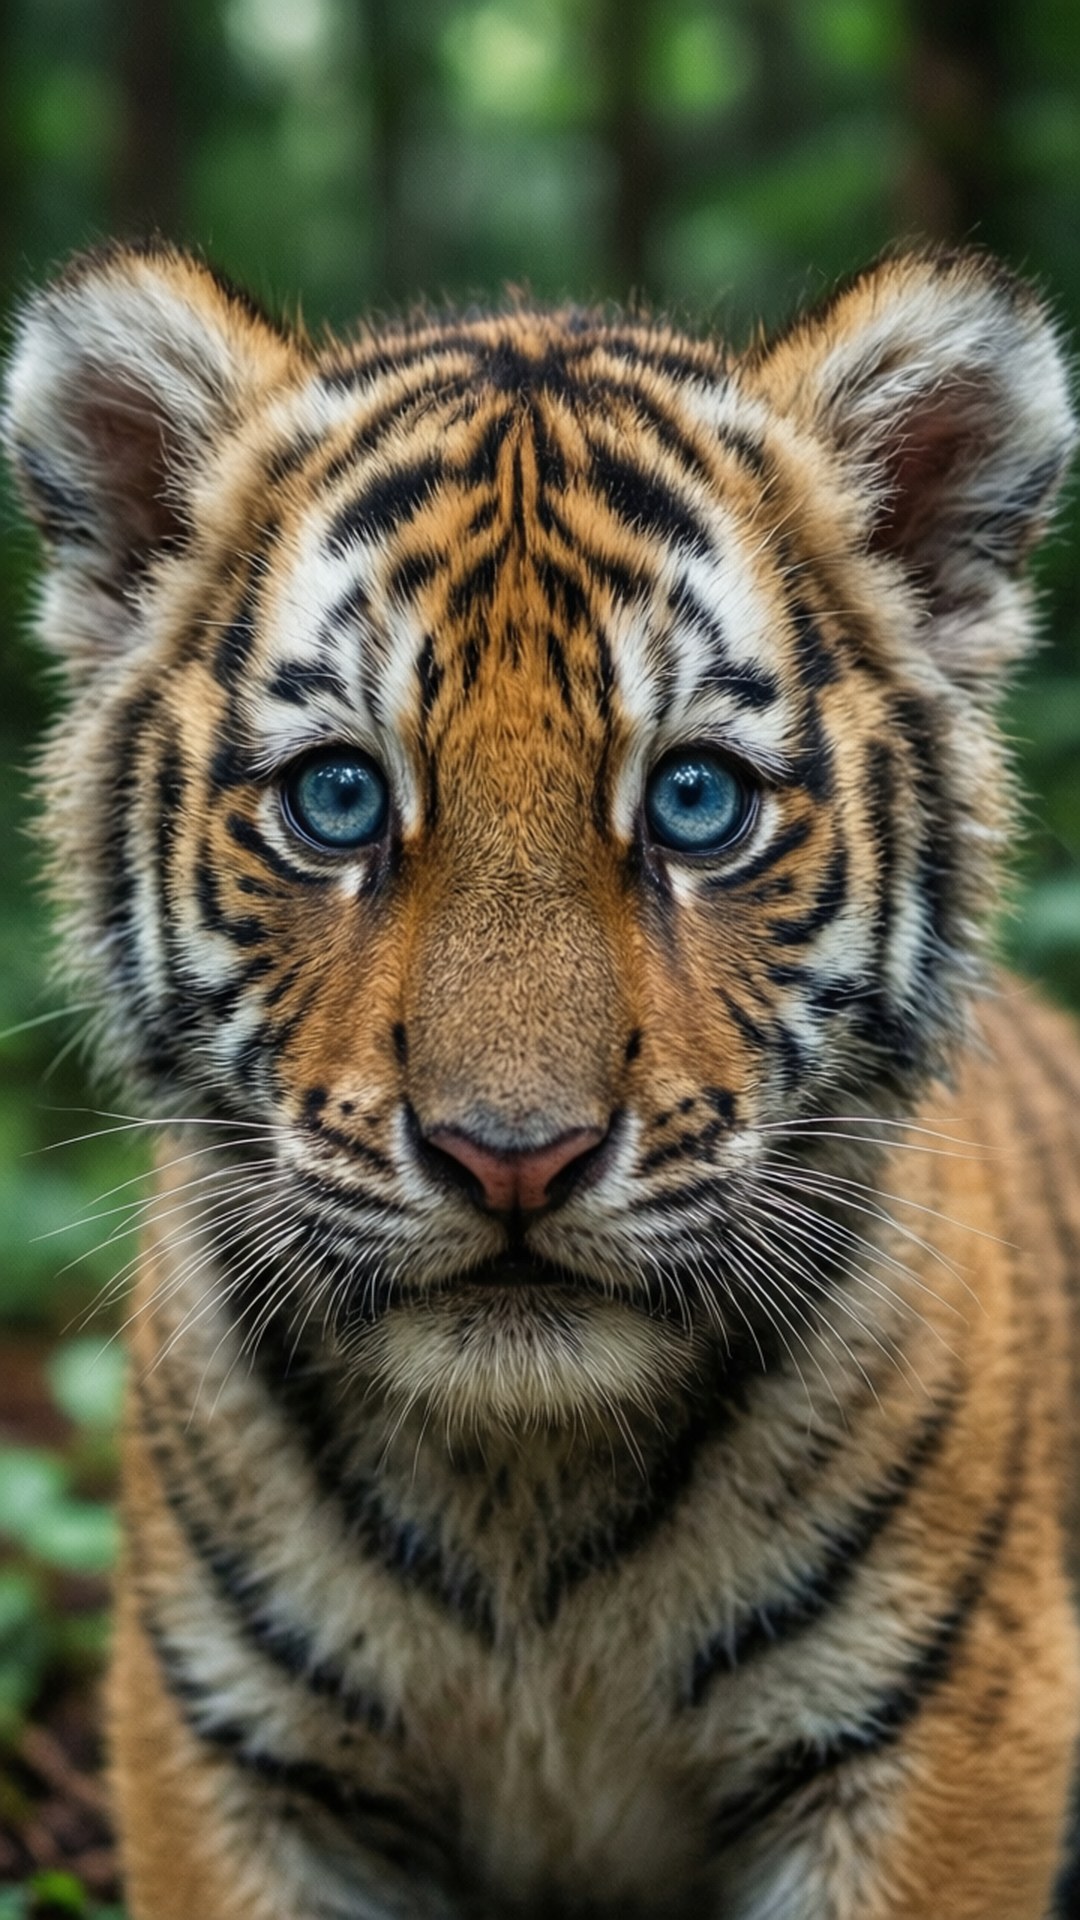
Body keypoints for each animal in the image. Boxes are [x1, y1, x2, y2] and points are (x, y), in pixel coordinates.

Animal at [5, 239, 1080, 1920]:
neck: (525, 1502)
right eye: (339, 798)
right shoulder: (234, 1757)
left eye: (696, 800)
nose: (512, 1154)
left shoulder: (939, 1734)